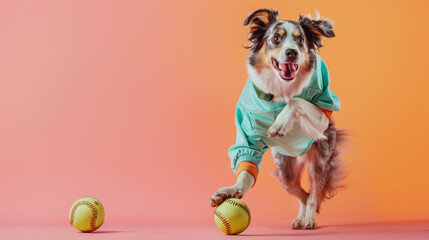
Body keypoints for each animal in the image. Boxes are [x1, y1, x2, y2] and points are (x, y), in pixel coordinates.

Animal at [209, 8, 346, 230]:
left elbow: (296, 101)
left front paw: (280, 124)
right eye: (275, 38)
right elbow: (246, 166)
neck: (280, 88)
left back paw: (309, 219)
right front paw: (232, 190)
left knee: (313, 193)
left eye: (301, 41)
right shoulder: (248, 131)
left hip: (321, 158)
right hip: (285, 171)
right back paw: (301, 218)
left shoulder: (324, 112)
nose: (292, 52)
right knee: (301, 193)